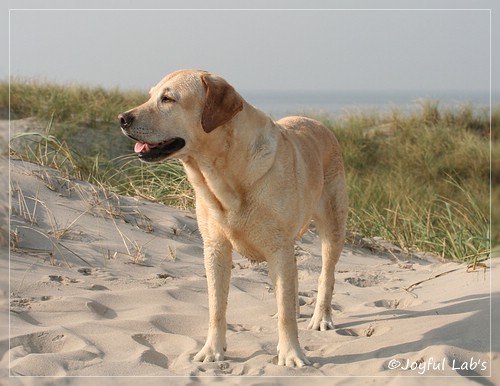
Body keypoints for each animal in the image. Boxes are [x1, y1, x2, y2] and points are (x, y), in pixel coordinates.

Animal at [120, 70, 348, 368]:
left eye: (168, 99)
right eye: (150, 96)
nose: (122, 118)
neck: (223, 172)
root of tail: (320, 124)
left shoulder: (279, 247)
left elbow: (288, 309)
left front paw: (291, 353)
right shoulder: (215, 248)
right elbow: (217, 306)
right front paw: (212, 350)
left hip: (332, 226)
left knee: (326, 275)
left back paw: (321, 317)